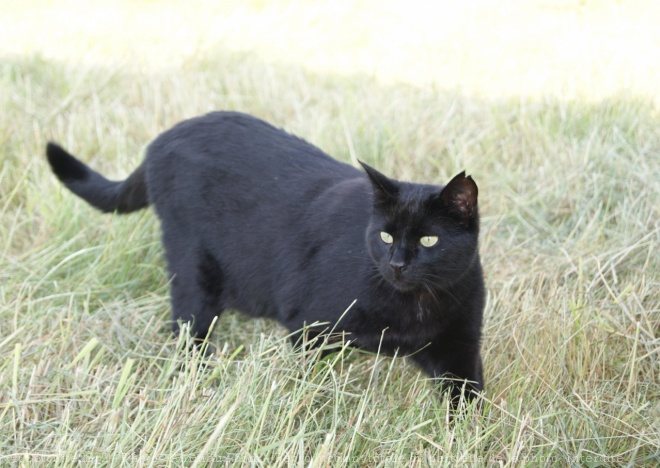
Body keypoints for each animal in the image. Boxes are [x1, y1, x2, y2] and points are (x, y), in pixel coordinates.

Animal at [46, 111, 484, 404]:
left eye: (429, 240)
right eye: (385, 235)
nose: (397, 263)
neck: (414, 303)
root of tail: (165, 137)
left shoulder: (459, 346)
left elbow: (471, 399)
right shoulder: (310, 328)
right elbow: (310, 384)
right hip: (193, 269)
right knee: (186, 329)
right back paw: (202, 378)